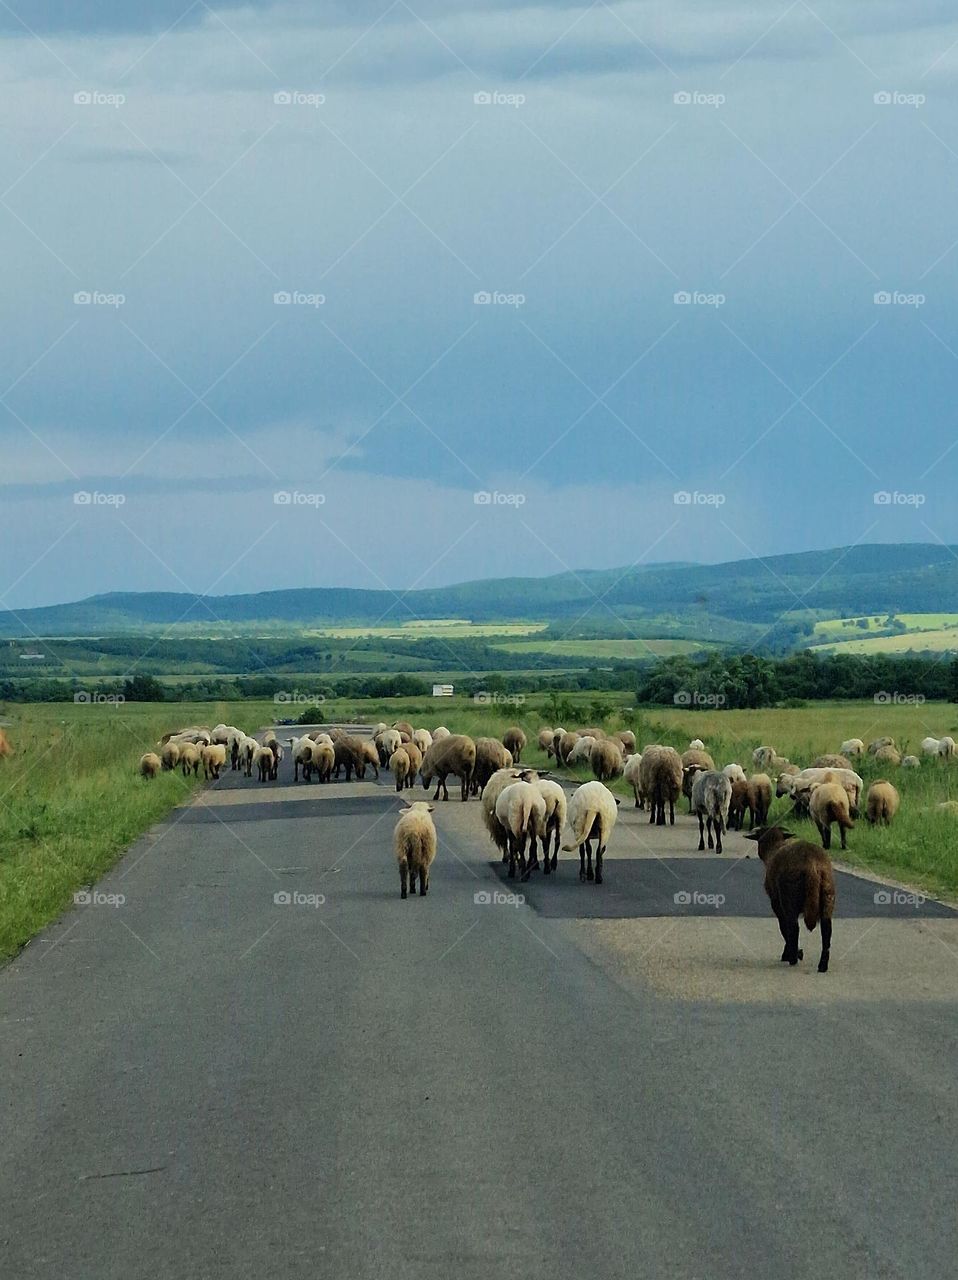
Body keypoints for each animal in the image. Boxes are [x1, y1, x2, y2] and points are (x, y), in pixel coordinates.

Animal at [742, 824, 835, 972]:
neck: (773, 848)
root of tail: (812, 864)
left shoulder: (776, 903)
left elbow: (783, 927)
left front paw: (792, 953)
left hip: (789, 896)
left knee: (793, 926)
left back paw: (793, 958)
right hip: (827, 893)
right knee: (826, 929)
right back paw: (822, 965)